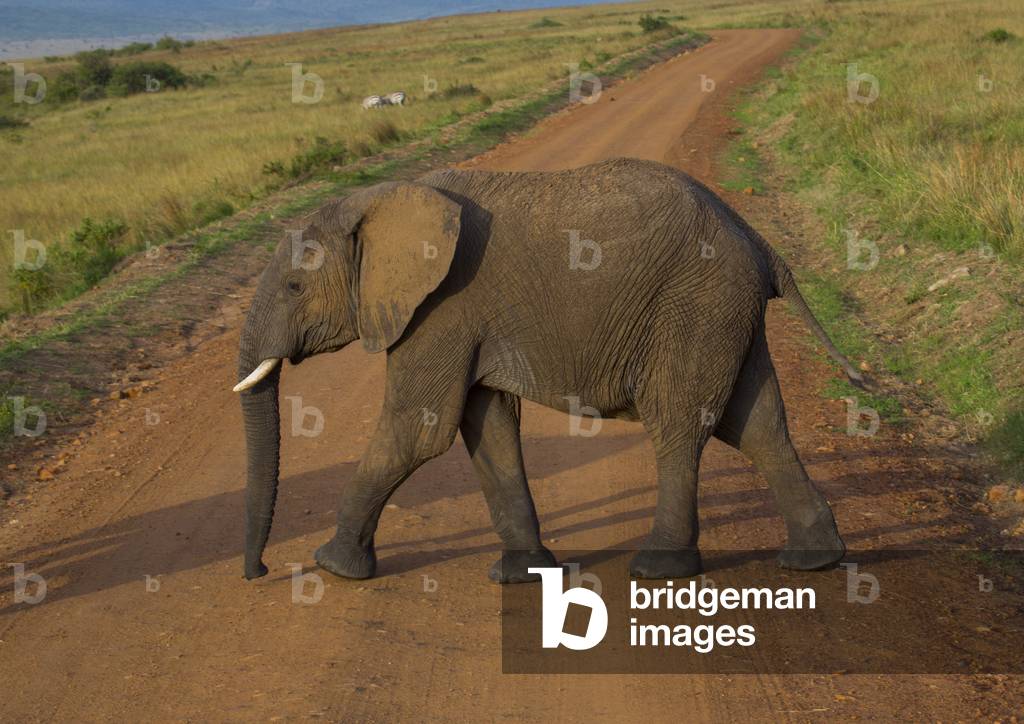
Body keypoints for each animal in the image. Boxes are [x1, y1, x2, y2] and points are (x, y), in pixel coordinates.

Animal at [234, 157, 862, 583]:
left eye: (295, 287)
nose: (259, 572)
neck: (382, 201)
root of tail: (758, 240)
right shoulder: (464, 320)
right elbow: (486, 429)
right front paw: (523, 574)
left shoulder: (442, 308)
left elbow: (419, 429)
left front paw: (332, 566)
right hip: (726, 311)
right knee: (756, 424)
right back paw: (814, 560)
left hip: (695, 303)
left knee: (680, 424)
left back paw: (658, 568)